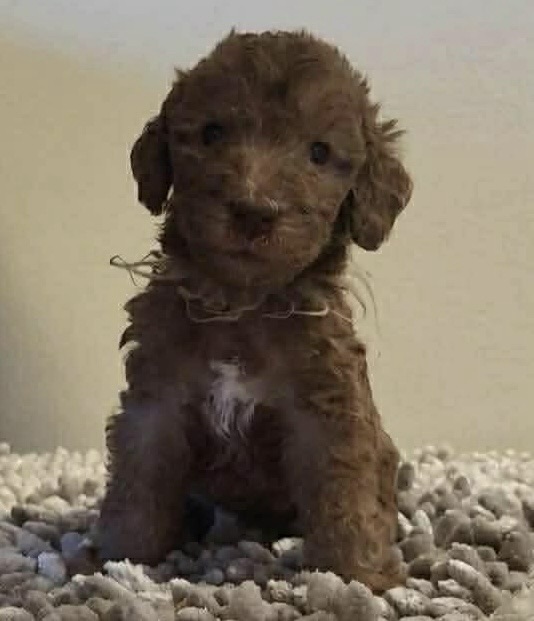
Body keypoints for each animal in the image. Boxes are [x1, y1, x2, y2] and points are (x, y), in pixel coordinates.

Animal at [98, 30, 412, 592]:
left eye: (319, 153)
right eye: (212, 132)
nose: (253, 210)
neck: (241, 304)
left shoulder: (328, 409)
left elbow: (346, 496)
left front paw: (357, 576)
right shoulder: (156, 398)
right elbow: (138, 477)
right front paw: (119, 557)